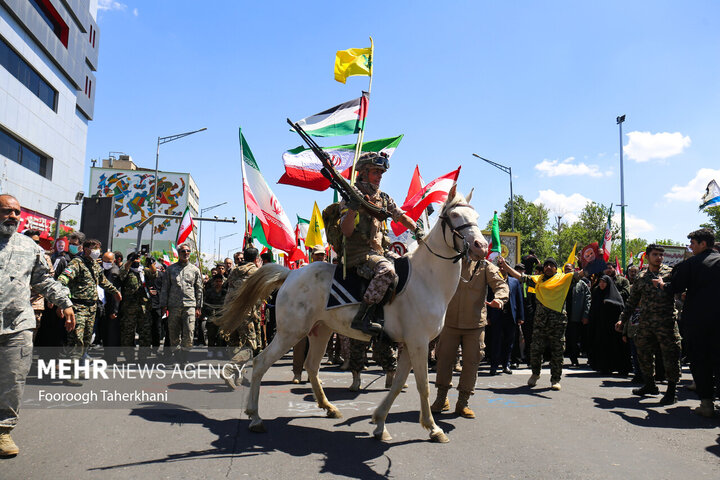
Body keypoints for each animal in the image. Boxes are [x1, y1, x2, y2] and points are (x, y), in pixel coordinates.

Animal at [217, 188, 486, 442]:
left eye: (475, 217)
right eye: (454, 216)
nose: (481, 247)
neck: (427, 279)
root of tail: (291, 274)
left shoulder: (410, 344)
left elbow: (398, 384)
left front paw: (379, 423)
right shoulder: (418, 343)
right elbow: (422, 386)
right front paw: (433, 428)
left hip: (320, 331)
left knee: (311, 366)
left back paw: (328, 407)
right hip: (290, 332)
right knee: (261, 362)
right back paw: (255, 417)